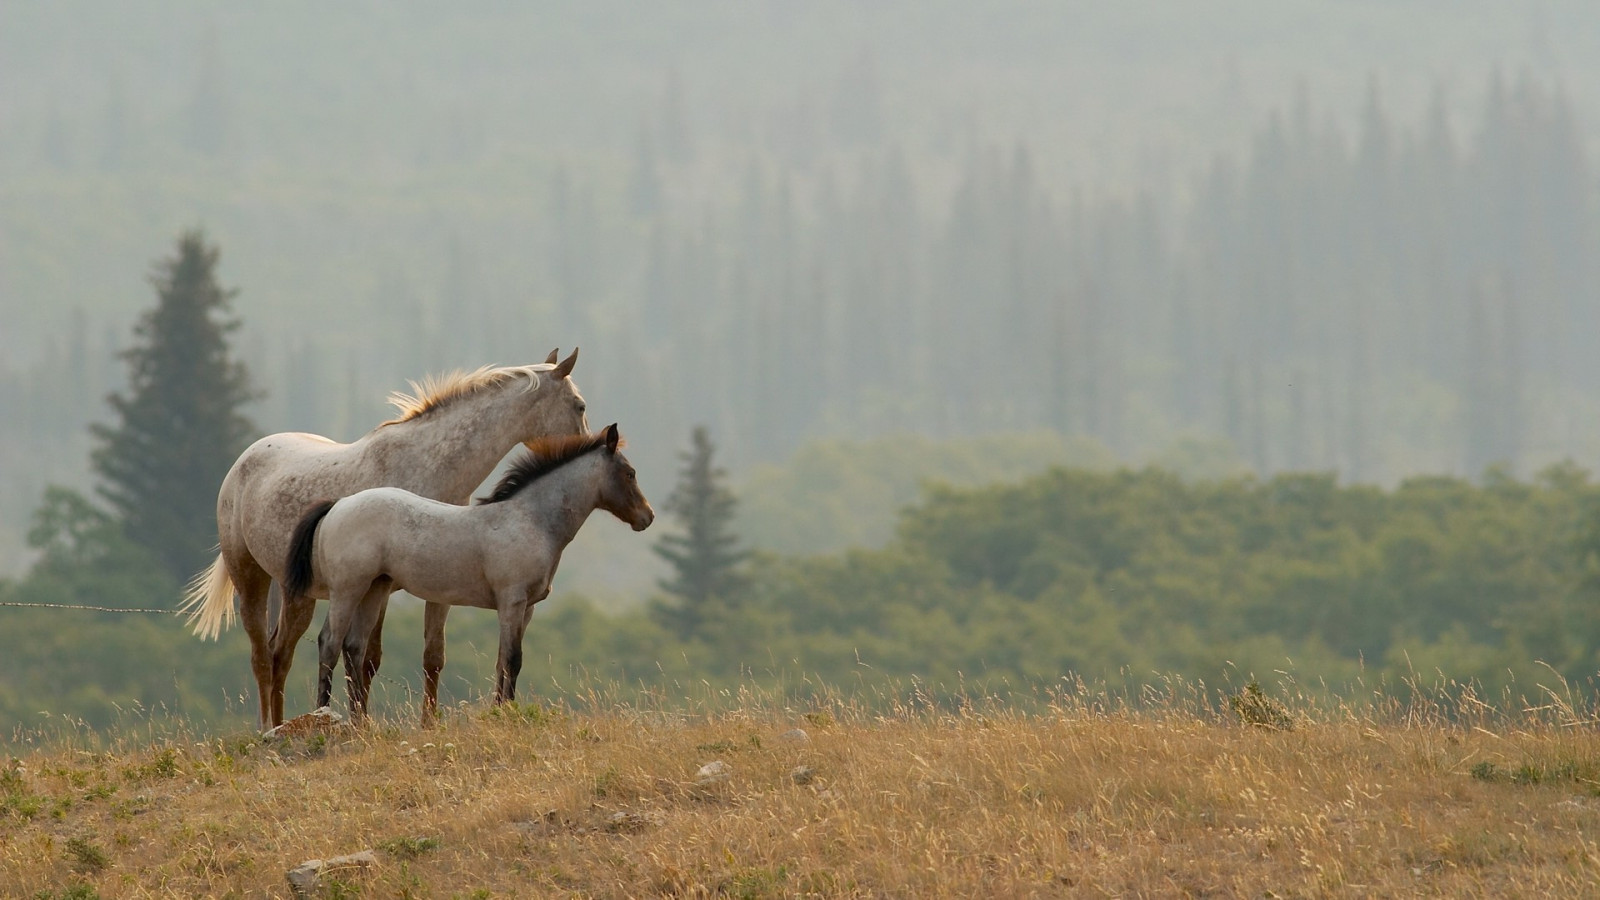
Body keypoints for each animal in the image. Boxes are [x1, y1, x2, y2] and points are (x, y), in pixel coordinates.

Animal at [180, 349, 588, 731]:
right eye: (580, 406)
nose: (588, 447)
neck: (426, 464)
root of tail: (243, 461)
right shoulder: (381, 587)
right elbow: (364, 657)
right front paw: (361, 719)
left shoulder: (435, 588)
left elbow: (430, 656)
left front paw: (425, 723)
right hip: (251, 580)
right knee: (264, 658)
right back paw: (270, 728)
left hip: (298, 594)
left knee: (281, 654)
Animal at [282, 424, 653, 722]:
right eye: (630, 473)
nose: (647, 518)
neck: (530, 520)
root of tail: (339, 504)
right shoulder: (512, 601)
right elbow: (513, 659)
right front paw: (506, 715)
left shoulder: (526, 609)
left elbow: (503, 661)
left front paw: (500, 711)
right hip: (347, 590)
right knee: (329, 643)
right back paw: (324, 715)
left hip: (375, 588)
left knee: (354, 647)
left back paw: (362, 724)